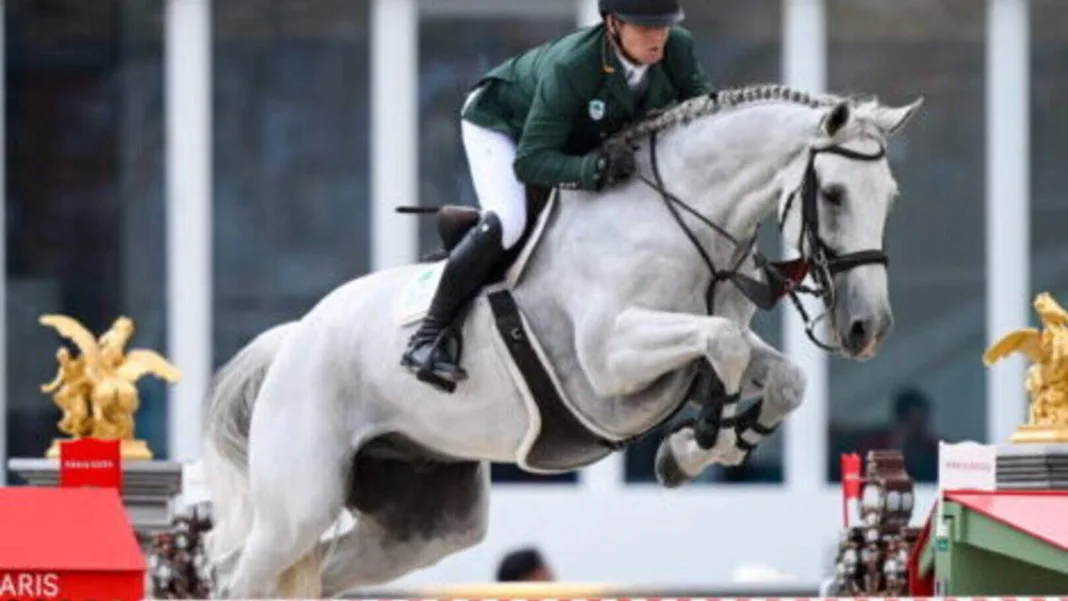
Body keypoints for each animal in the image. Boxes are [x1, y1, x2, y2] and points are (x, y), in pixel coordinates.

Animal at [201, 84, 922, 598]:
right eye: (833, 194)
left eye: (890, 196)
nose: (868, 329)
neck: (679, 226)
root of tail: (292, 339)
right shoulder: (609, 363)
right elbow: (724, 345)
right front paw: (697, 442)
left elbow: (777, 375)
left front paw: (694, 450)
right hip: (299, 502)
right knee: (240, 574)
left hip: (424, 523)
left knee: (323, 570)